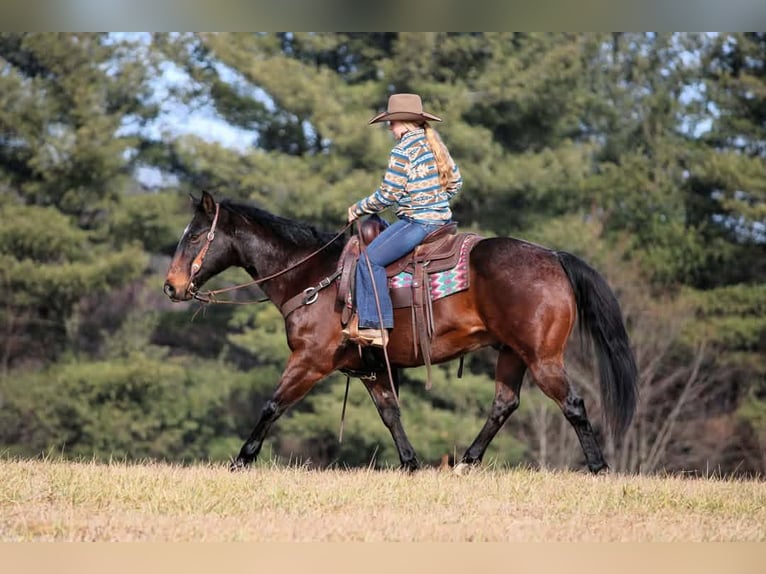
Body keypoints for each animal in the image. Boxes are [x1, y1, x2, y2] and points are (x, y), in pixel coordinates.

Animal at [163, 191, 638, 473]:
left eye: (196, 237)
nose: (171, 286)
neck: (314, 276)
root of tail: (553, 257)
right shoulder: (371, 369)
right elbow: (390, 414)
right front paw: (411, 464)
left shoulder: (309, 360)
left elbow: (271, 405)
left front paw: (241, 461)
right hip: (512, 353)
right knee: (504, 404)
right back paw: (466, 462)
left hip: (542, 357)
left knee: (573, 405)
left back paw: (599, 469)